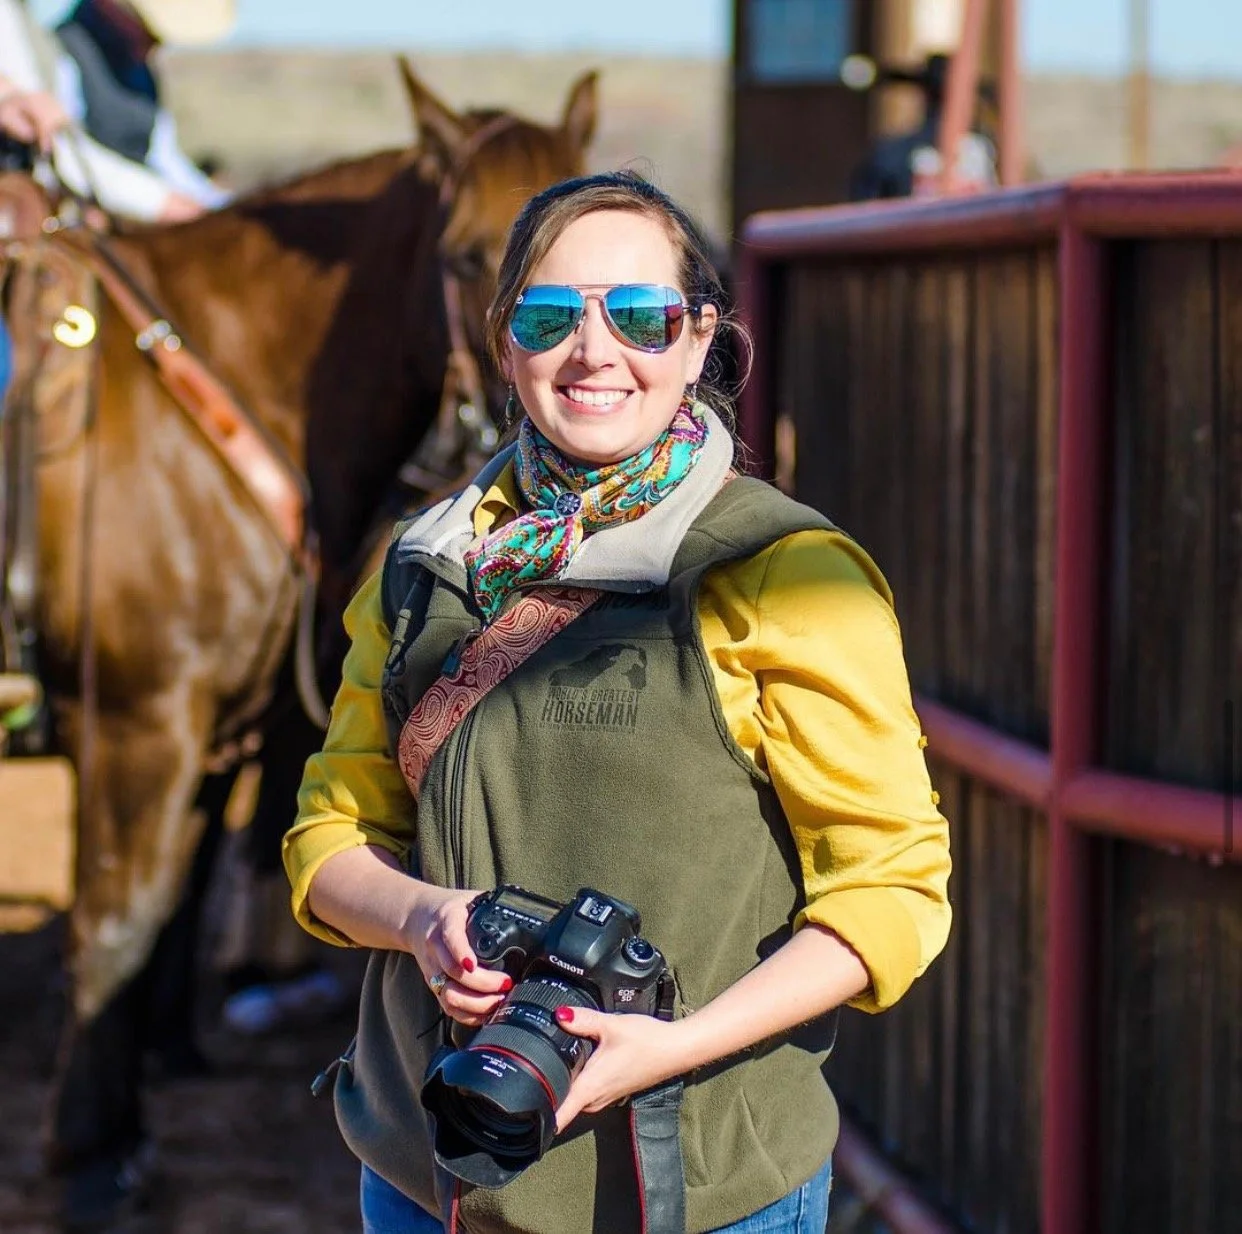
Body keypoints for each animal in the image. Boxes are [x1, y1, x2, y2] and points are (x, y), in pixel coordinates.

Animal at [3, 60, 596, 1228]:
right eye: (468, 254)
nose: (519, 428)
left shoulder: (201, 741)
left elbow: (159, 925)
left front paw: (120, 1133)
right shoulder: (140, 726)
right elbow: (118, 928)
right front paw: (87, 1159)